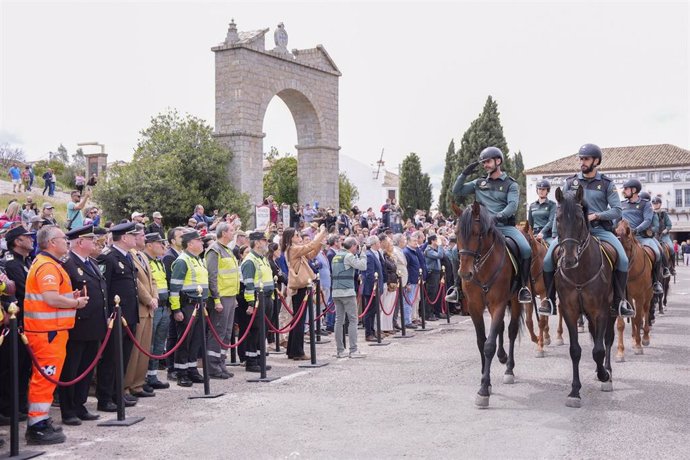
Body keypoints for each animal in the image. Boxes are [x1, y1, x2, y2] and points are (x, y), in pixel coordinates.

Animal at [456, 200, 520, 406]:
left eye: (477, 234)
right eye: (456, 233)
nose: (465, 273)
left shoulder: (499, 303)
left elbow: (489, 345)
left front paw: (484, 389)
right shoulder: (475, 307)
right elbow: (481, 341)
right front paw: (486, 381)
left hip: (516, 300)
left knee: (512, 330)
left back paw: (509, 369)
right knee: (500, 327)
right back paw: (502, 357)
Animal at [552, 185, 616, 408]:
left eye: (580, 219)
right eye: (558, 219)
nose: (569, 259)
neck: (579, 272)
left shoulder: (601, 311)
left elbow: (598, 350)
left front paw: (604, 376)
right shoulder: (570, 311)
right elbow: (575, 350)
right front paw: (574, 391)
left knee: (607, 340)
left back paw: (607, 372)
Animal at [612, 219, 652, 360]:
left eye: (628, 247)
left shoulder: (640, 296)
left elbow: (639, 318)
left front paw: (639, 345)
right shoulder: (620, 296)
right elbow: (621, 324)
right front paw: (620, 352)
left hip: (648, 294)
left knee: (645, 311)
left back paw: (645, 338)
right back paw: (635, 339)